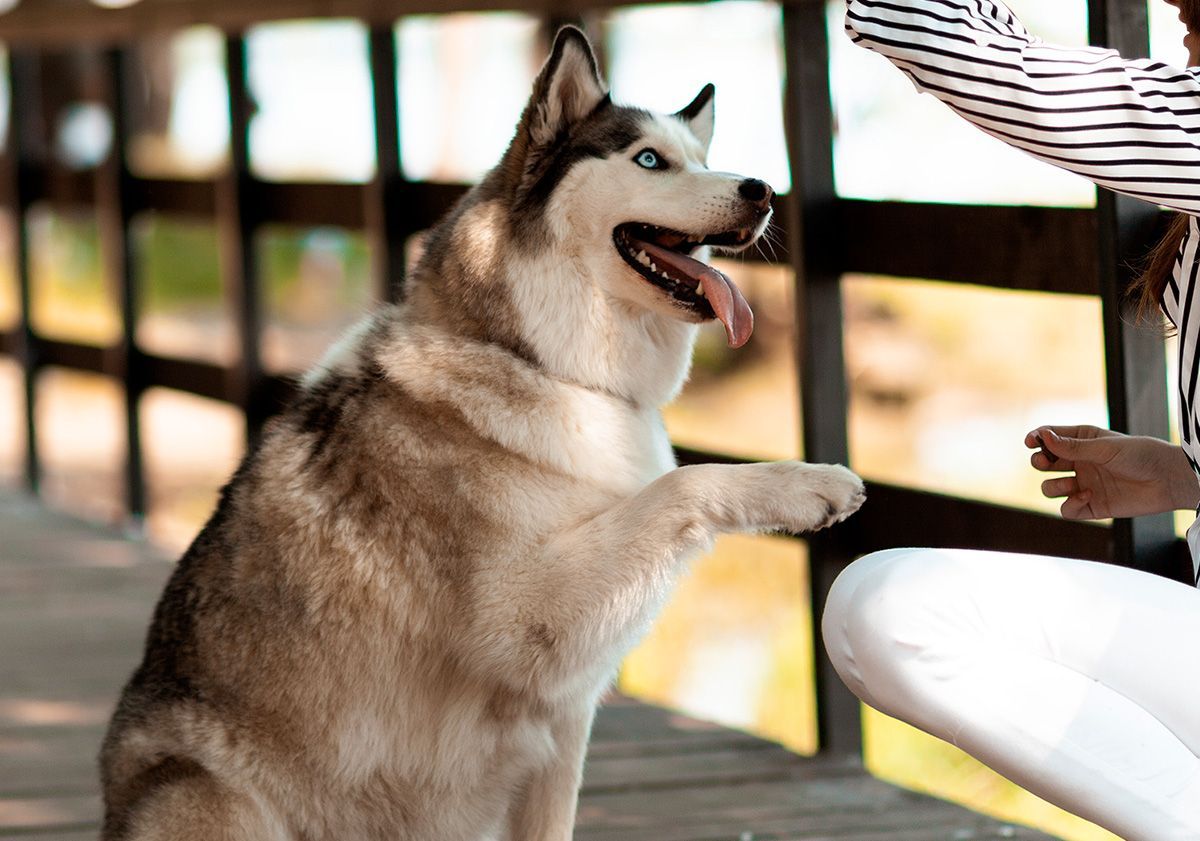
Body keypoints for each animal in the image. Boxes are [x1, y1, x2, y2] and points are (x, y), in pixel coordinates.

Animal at [96, 26, 864, 839]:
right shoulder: (525, 618)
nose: (762, 189)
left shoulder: (563, 719)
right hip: (217, 801)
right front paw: (808, 484)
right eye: (649, 160)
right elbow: (684, 484)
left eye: (699, 155)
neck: (545, 368)